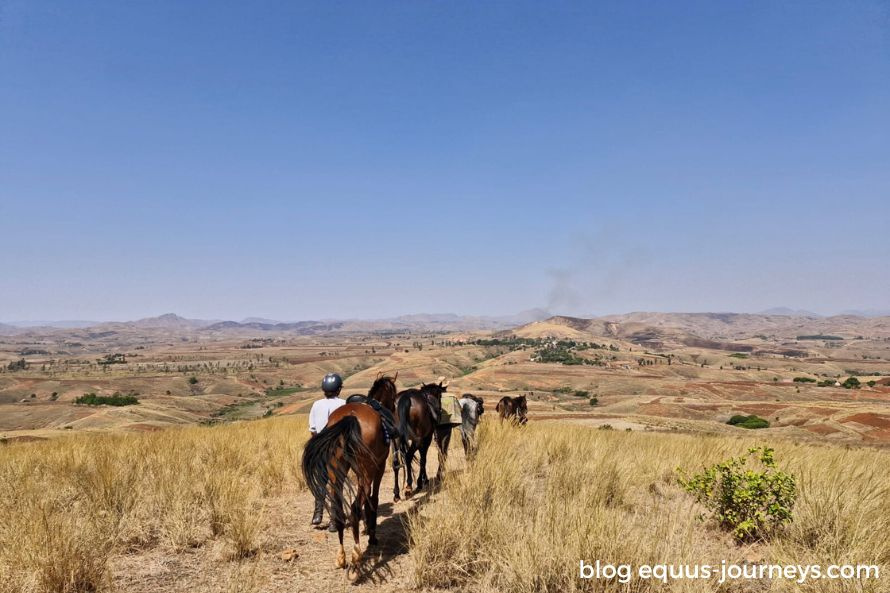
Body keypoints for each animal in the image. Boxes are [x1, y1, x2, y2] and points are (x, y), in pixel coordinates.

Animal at [302, 374, 398, 580]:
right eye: (393, 395)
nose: (394, 410)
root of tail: (350, 417)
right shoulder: (379, 467)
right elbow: (373, 500)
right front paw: (372, 535)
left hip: (336, 472)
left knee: (339, 511)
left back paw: (341, 557)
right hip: (366, 473)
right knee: (354, 509)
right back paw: (355, 558)